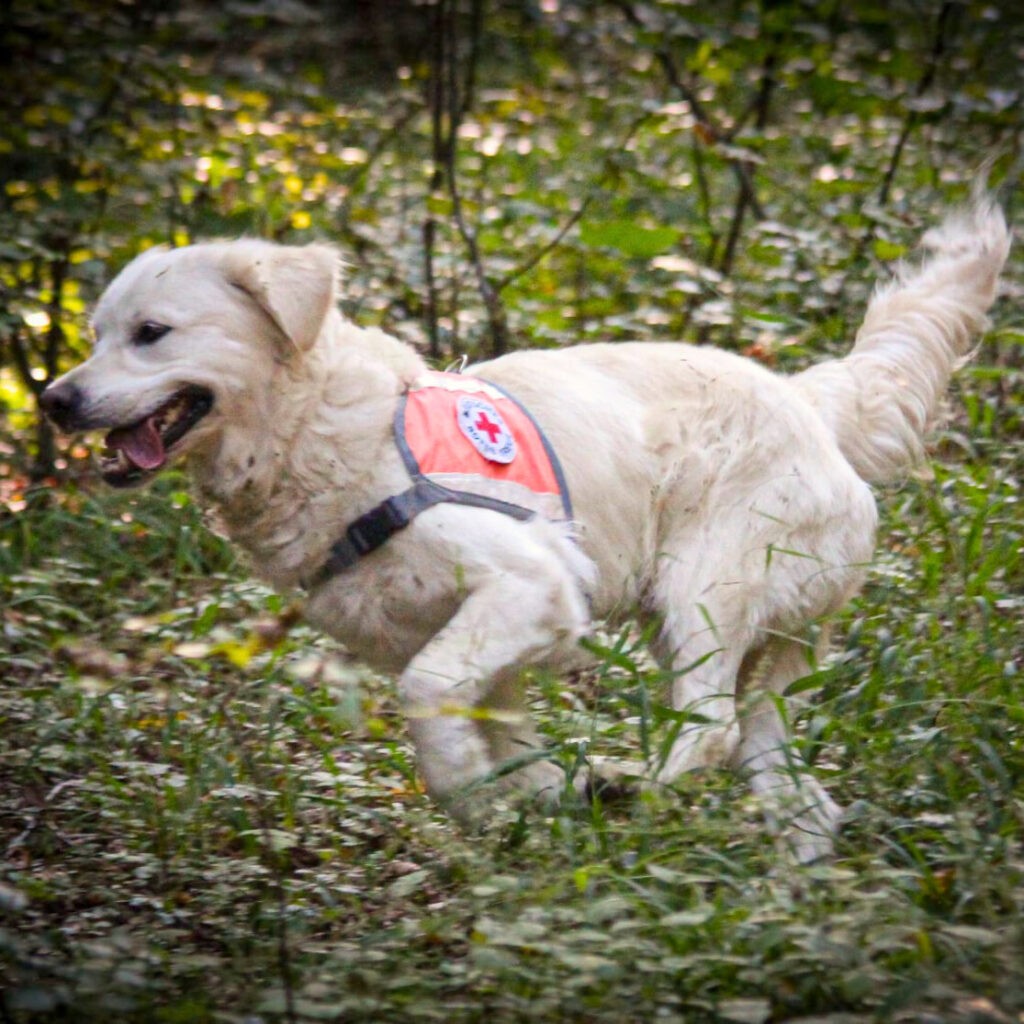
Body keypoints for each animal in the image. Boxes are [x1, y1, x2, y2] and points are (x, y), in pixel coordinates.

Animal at [39, 199, 1007, 856]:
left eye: (152, 333)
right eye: (94, 335)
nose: (54, 401)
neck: (334, 431)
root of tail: (810, 400)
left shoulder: (530, 582)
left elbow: (428, 697)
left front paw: (475, 798)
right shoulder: (482, 641)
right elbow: (507, 740)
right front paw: (534, 805)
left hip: (706, 593)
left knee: (710, 729)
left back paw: (635, 792)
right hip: (755, 643)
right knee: (787, 784)